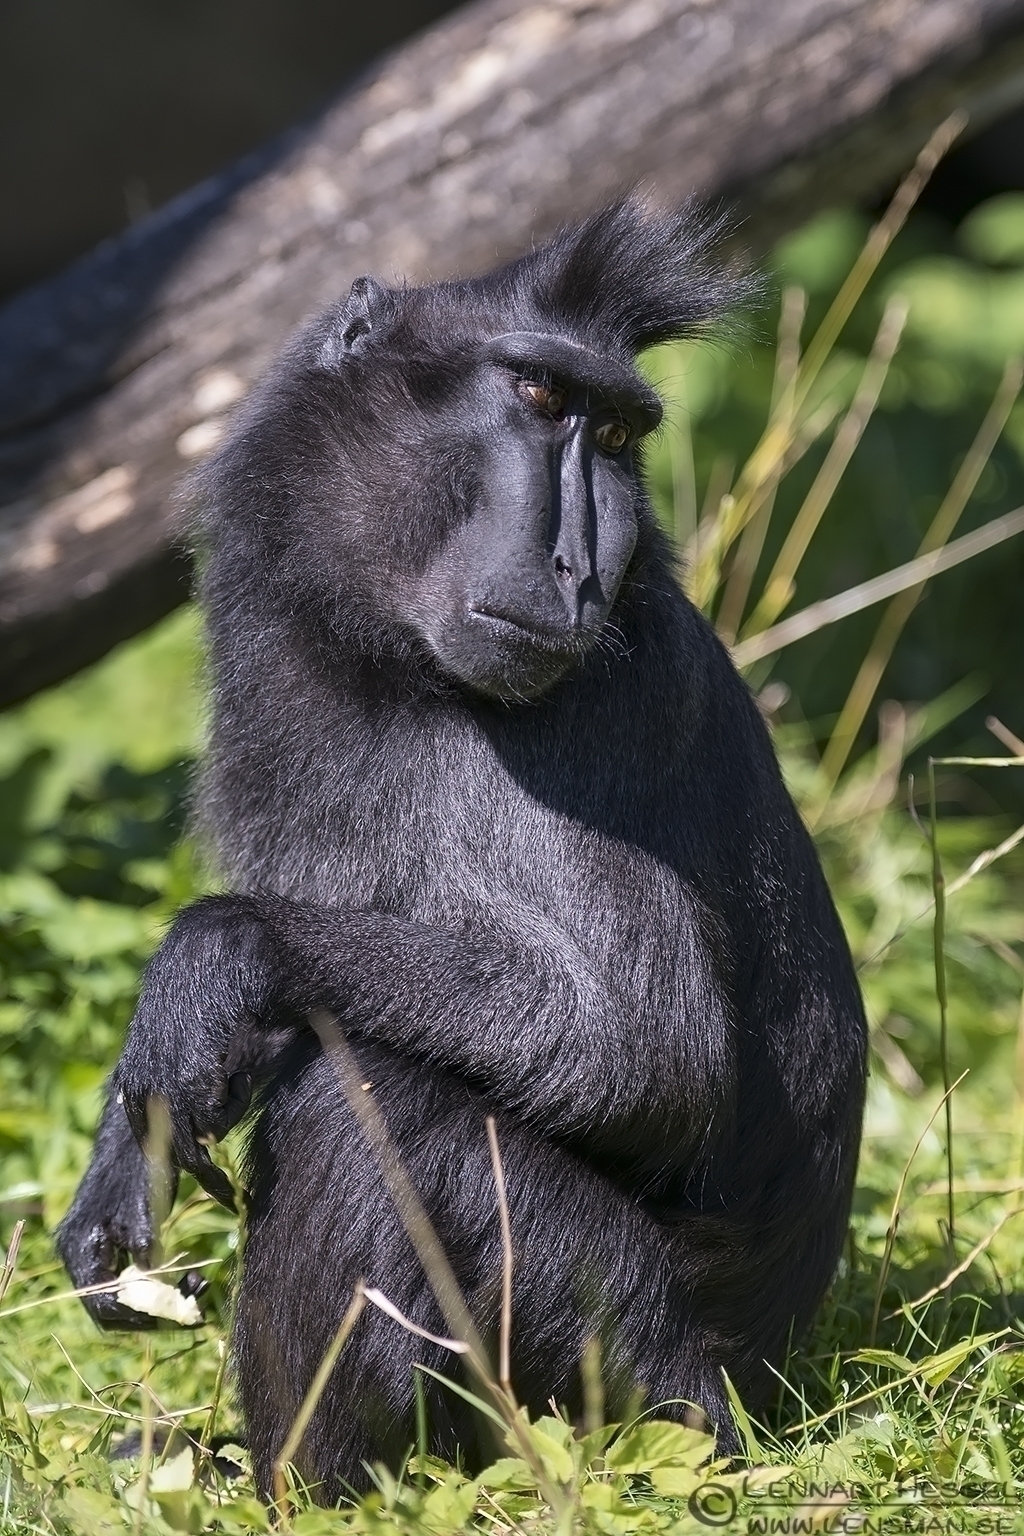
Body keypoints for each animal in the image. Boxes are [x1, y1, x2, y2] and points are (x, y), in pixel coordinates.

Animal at [57, 199, 867, 1503]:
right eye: (538, 397)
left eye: (616, 434)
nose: (580, 566)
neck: (383, 660)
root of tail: (764, 1386)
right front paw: (128, 1160)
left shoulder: (571, 720)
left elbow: (643, 1045)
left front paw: (208, 967)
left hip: (627, 1370)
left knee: (369, 1102)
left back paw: (297, 1494)